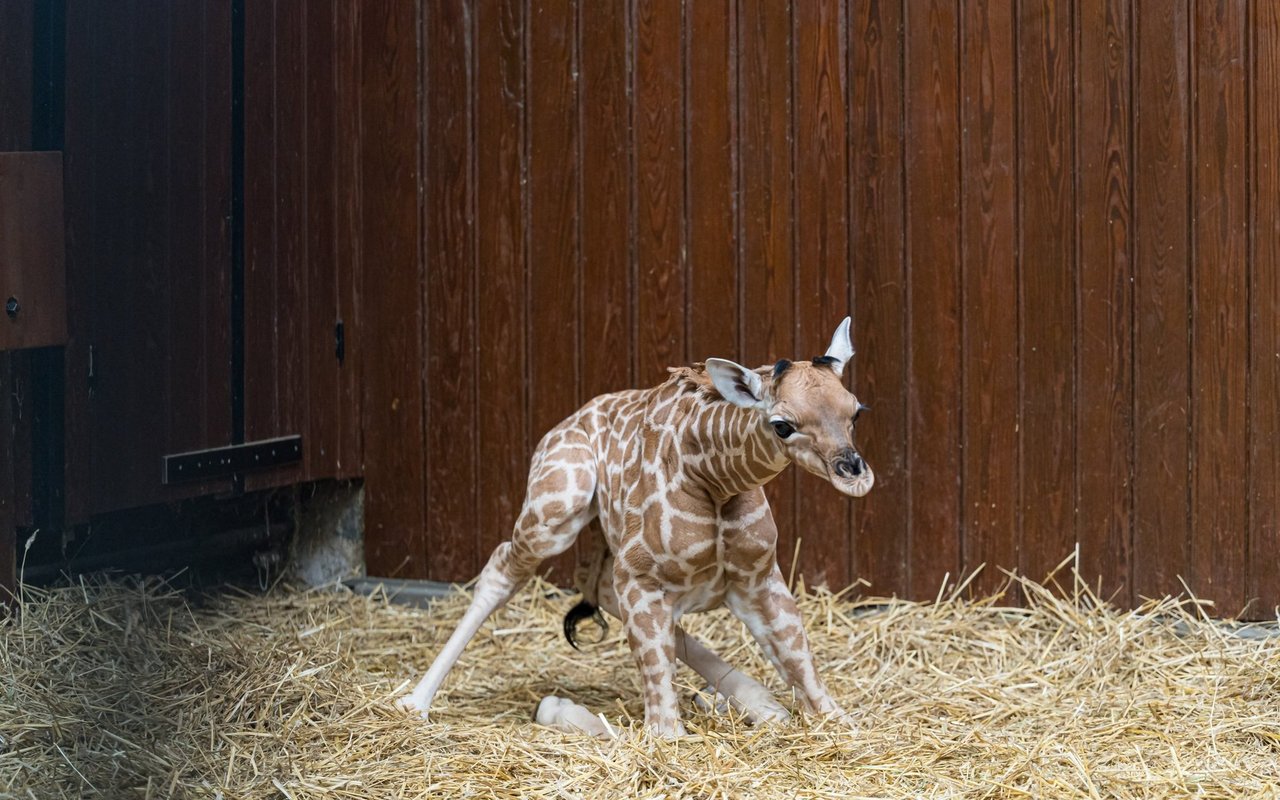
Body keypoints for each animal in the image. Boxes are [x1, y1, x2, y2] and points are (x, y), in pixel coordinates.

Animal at [399, 314, 875, 732]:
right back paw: (414, 702)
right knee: (503, 568)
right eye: (782, 425)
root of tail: (557, 429)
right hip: (557, 505)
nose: (854, 474)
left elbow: (800, 661)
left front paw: (813, 716)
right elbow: (659, 731)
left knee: (595, 582)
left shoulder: (757, 575)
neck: (713, 479)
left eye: (855, 410)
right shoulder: (642, 577)